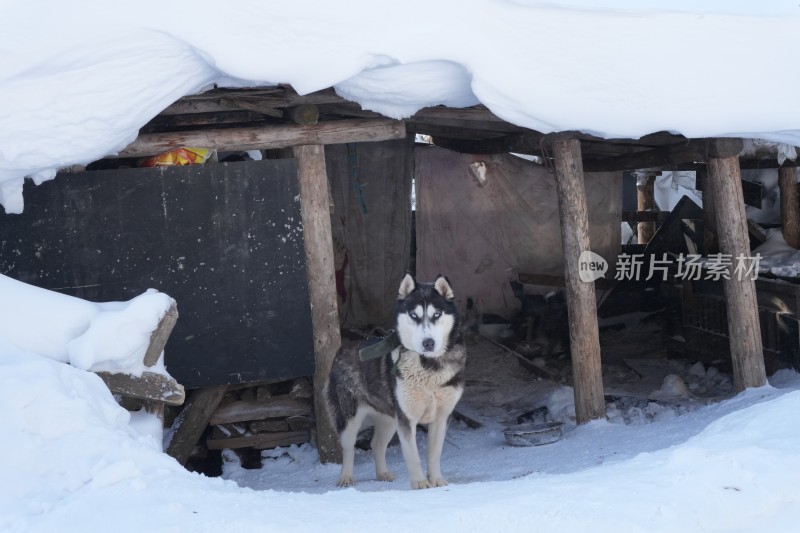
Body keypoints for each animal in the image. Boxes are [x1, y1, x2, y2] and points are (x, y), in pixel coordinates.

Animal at [324, 274, 466, 486]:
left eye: (437, 314)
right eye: (414, 315)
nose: (428, 343)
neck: (428, 366)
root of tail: (344, 348)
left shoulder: (441, 417)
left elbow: (434, 454)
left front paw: (437, 481)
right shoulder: (406, 419)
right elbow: (413, 456)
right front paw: (420, 484)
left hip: (389, 418)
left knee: (376, 444)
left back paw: (382, 473)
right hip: (349, 418)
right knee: (349, 448)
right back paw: (346, 477)